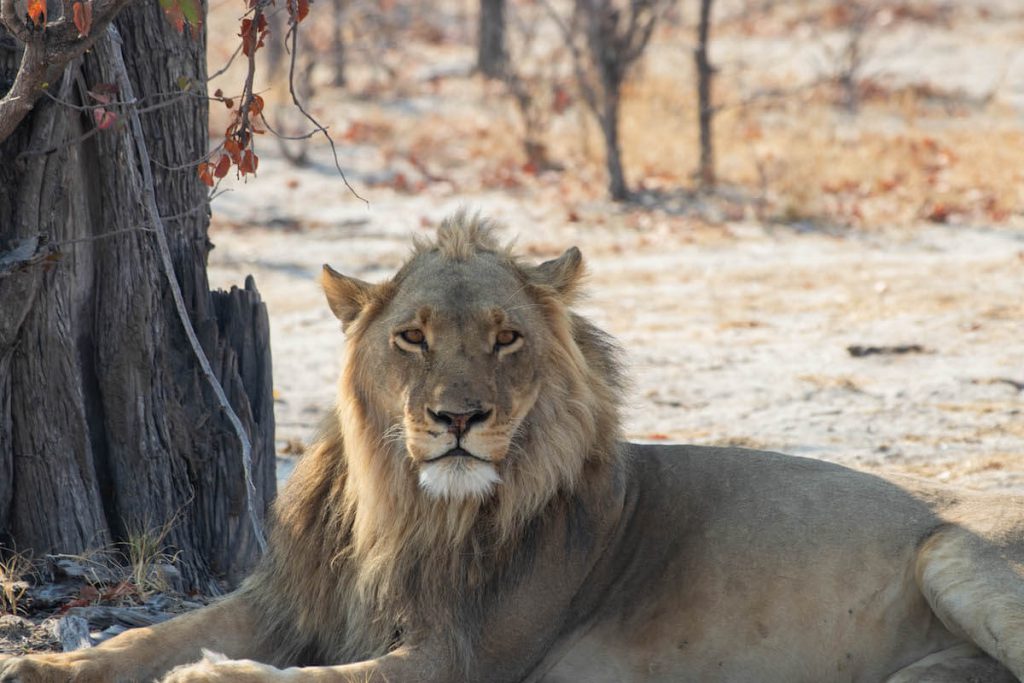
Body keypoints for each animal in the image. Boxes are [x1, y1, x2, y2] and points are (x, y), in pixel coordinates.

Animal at [2, 210, 1024, 679]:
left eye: (505, 338)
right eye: (413, 337)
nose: (458, 418)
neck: (403, 510)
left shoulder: (457, 659)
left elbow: (299, 677)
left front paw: (210, 672)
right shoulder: (287, 601)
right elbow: (152, 632)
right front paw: (43, 662)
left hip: (953, 555)